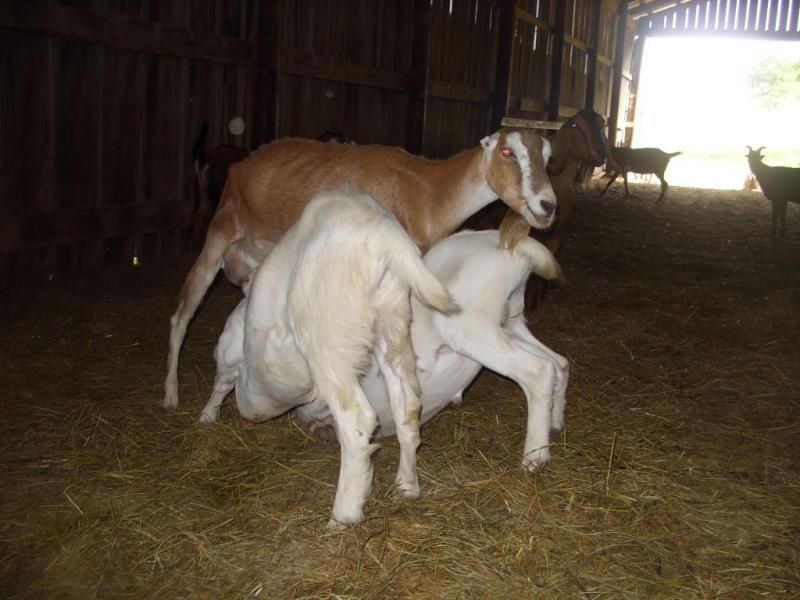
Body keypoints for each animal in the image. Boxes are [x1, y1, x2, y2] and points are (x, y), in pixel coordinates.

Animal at [165, 128, 557, 410]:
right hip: (218, 233)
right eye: (507, 152)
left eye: (547, 157)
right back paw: (171, 396)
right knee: (182, 313)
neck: (429, 192)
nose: (547, 205)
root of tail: (239, 166)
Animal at [199, 190, 459, 528]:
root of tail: (383, 235)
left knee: (357, 423)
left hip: (326, 340)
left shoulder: (229, 348)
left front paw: (206, 417)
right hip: (393, 325)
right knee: (408, 407)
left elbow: (221, 380)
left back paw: (344, 515)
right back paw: (407, 486)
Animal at [461, 109, 609, 309]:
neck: (559, 187)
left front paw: (539, 298)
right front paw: (529, 302)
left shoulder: (556, 238)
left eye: (602, 123)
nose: (601, 154)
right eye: (577, 125)